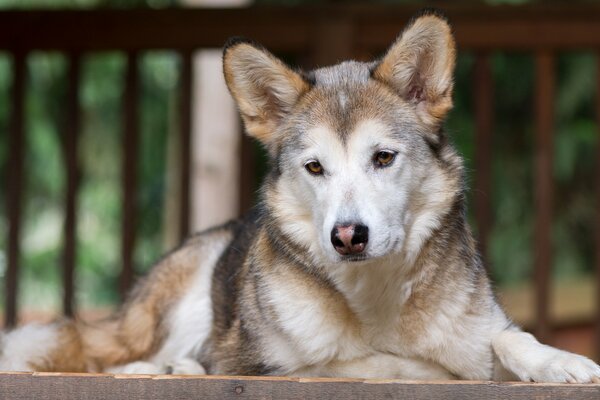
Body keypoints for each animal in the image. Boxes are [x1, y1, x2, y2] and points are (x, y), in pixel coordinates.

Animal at [1, 10, 600, 382]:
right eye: (315, 168)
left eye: (383, 158)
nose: (347, 236)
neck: (374, 297)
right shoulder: (270, 363)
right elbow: (371, 364)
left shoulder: (481, 328)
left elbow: (507, 339)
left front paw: (560, 362)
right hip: (182, 296)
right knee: (112, 357)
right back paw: (162, 368)